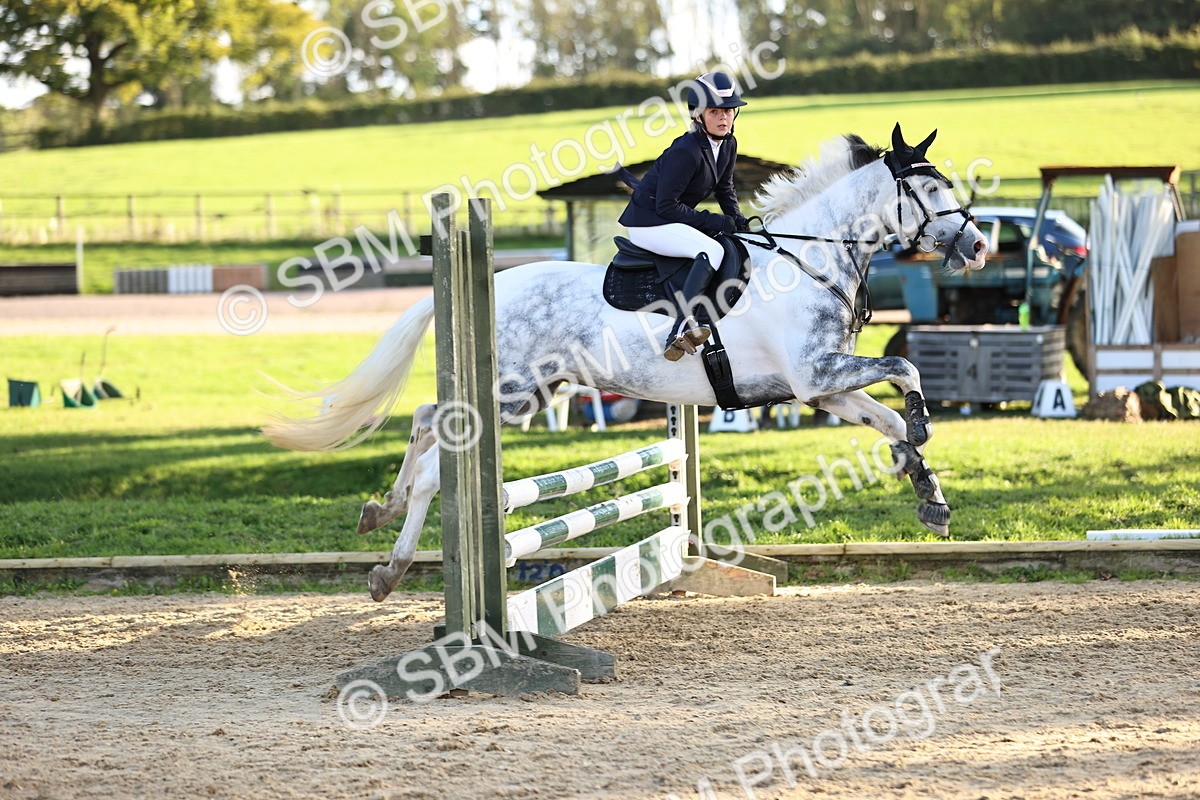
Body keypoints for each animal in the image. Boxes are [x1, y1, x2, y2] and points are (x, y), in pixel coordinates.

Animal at [263, 124, 989, 602]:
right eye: (931, 190)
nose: (980, 245)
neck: (810, 258)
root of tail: (494, 281)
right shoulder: (817, 375)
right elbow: (907, 376)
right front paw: (923, 436)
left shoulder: (822, 386)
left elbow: (889, 422)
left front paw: (929, 497)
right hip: (509, 393)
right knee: (437, 460)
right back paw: (389, 566)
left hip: (525, 392)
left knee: (421, 419)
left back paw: (379, 513)